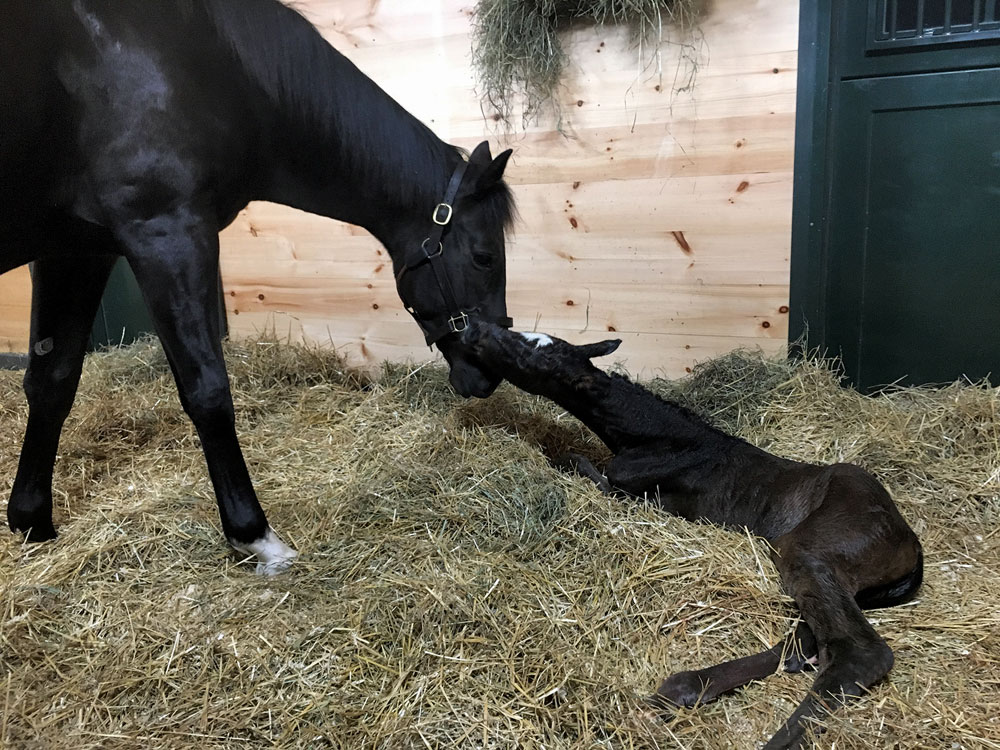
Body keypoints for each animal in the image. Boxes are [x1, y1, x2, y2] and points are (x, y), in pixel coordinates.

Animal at [464, 324, 924, 750]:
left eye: (537, 350)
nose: (476, 329)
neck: (661, 440)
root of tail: (910, 544)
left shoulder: (639, 496)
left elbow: (575, 463)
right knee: (811, 638)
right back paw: (680, 690)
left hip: (809, 548)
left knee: (857, 651)